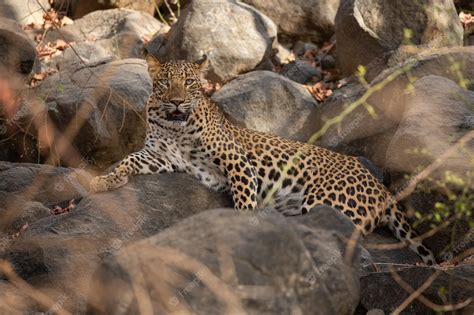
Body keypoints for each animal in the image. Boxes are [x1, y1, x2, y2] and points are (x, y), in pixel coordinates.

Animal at [90, 55, 436, 266]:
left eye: (189, 82)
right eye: (165, 83)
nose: (177, 101)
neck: (175, 125)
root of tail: (381, 187)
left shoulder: (236, 160)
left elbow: (244, 202)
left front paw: (243, 231)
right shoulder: (161, 157)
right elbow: (128, 159)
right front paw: (104, 180)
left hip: (327, 202)